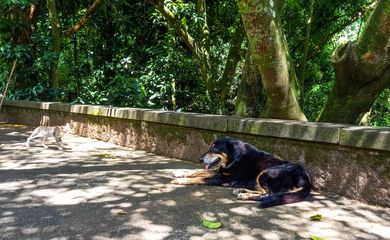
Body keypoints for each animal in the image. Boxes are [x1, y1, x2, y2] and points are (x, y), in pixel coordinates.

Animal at [172, 137, 312, 208]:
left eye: (215, 149)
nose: (200, 159)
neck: (234, 159)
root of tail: (305, 178)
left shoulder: (221, 178)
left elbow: (199, 178)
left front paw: (181, 180)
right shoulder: (220, 172)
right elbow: (197, 171)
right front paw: (179, 173)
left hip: (266, 173)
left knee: (268, 194)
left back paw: (245, 195)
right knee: (263, 191)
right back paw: (241, 190)